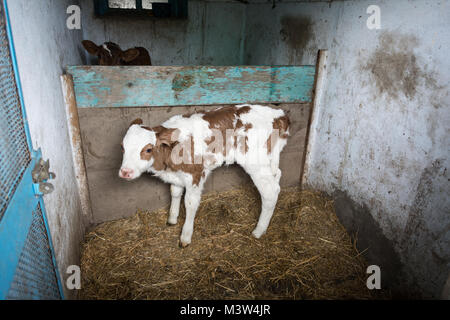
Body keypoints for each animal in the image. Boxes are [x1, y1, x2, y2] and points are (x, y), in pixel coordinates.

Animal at [118, 104, 290, 246]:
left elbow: (190, 203)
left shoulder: (196, 174)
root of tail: (279, 115)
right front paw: (172, 219)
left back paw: (258, 231)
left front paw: (185, 236)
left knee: (270, 191)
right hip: (271, 159)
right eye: (122, 147)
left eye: (148, 149)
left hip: (255, 162)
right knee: (277, 175)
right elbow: (175, 192)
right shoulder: (177, 174)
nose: (125, 172)